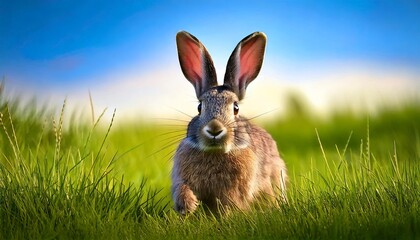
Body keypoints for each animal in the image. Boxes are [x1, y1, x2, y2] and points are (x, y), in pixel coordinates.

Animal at [172, 30, 288, 214]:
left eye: (236, 107)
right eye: (199, 107)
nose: (214, 129)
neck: (215, 152)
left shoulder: (234, 191)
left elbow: (229, 204)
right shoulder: (180, 177)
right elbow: (182, 188)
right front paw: (188, 206)